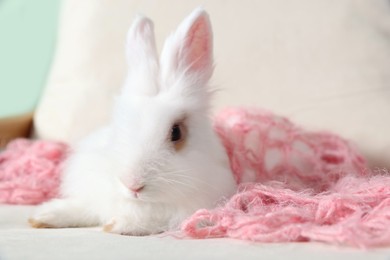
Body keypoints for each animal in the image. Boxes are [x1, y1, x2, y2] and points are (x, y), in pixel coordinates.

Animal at [29, 8, 236, 236]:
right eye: (117, 126)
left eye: (176, 132)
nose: (132, 185)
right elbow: (83, 208)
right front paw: (42, 216)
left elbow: (153, 219)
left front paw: (116, 224)